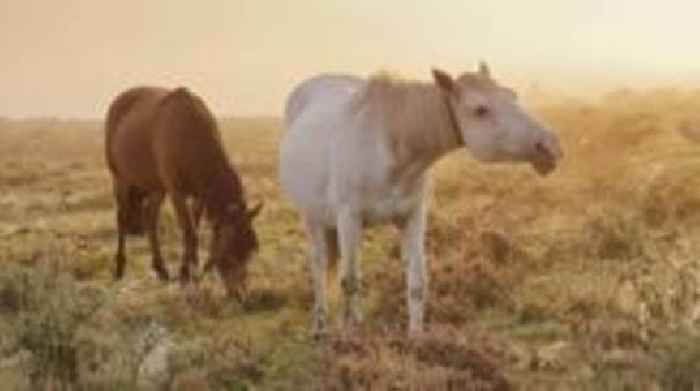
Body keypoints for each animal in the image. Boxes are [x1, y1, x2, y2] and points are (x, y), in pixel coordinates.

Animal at [106, 86, 262, 298]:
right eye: (228, 253)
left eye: (250, 250)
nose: (239, 294)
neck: (189, 133)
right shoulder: (176, 191)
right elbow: (189, 232)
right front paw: (190, 276)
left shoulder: (199, 196)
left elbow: (193, 228)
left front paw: (186, 273)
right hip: (121, 178)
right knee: (122, 219)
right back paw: (120, 268)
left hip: (157, 187)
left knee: (150, 217)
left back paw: (161, 270)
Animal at [278, 64, 564, 336]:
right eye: (480, 110)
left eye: (512, 95)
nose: (549, 146)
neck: (390, 146)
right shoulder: (349, 218)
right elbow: (350, 282)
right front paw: (350, 340)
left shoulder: (413, 216)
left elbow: (416, 282)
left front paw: (416, 339)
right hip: (313, 219)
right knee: (319, 266)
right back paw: (321, 328)